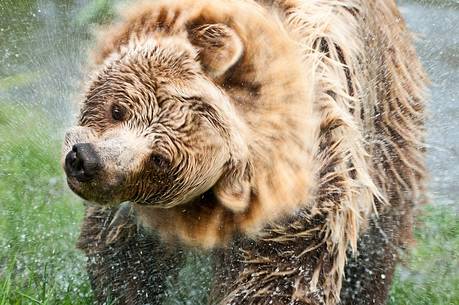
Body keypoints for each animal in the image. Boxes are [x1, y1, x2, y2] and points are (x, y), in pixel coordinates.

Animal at [61, 0, 428, 304]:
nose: (86, 160)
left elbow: (283, 269)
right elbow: (125, 249)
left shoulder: (306, 179)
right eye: (117, 110)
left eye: (160, 160)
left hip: (388, 130)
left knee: (378, 240)